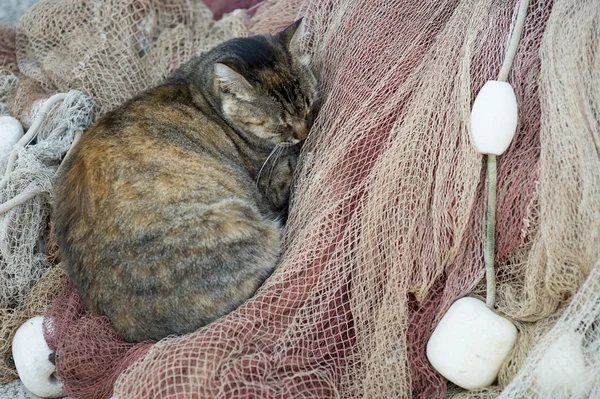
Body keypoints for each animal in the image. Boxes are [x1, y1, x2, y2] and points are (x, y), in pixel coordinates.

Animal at [54, 19, 322, 344]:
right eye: (280, 124)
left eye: (308, 104)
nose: (305, 131)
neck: (202, 89)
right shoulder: (271, 182)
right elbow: (287, 162)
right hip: (237, 218)